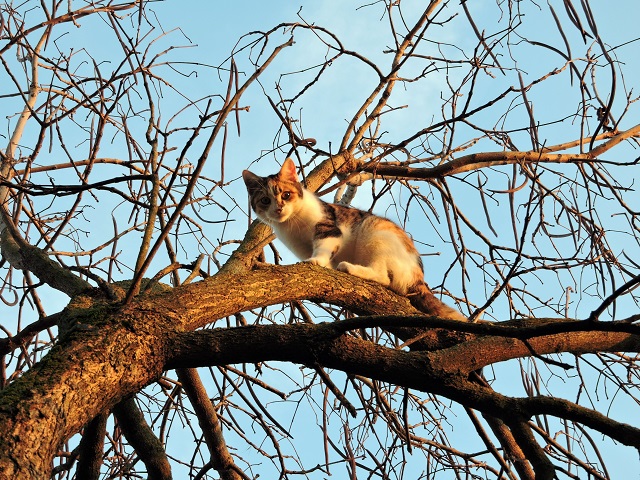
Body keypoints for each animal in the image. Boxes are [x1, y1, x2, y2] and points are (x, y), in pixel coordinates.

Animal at [242, 158, 468, 322]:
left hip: (375, 233)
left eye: (287, 195)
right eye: (265, 201)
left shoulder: (328, 228)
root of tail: (419, 276)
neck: (292, 224)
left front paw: (316, 261)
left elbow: (323, 247)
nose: (278, 209)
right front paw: (324, 265)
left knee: (383, 277)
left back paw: (350, 268)